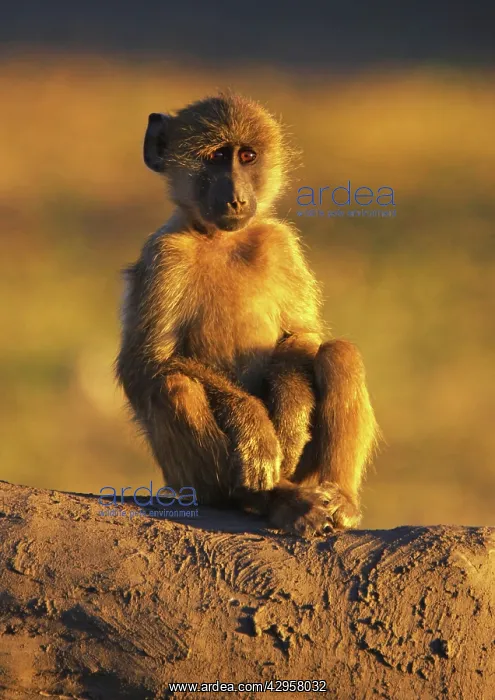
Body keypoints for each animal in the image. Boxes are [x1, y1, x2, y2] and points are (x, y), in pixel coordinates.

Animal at [116, 92, 379, 536]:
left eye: (247, 156)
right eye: (218, 156)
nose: (237, 198)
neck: (221, 238)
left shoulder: (280, 243)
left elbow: (300, 336)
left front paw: (290, 418)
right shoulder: (165, 256)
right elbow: (148, 363)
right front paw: (257, 428)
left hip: (303, 470)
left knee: (339, 353)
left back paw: (339, 498)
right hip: (188, 482)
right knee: (174, 385)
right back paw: (272, 499)